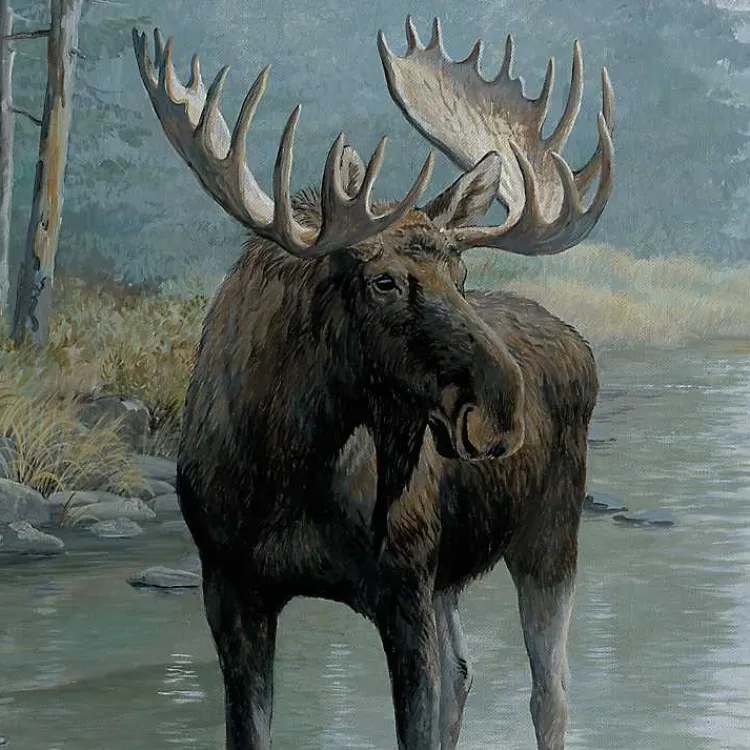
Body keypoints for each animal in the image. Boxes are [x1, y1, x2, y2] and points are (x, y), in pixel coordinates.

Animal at [133, 14, 614, 750]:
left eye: (461, 275)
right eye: (384, 282)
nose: (503, 411)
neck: (284, 470)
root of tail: (576, 340)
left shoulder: (403, 587)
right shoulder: (230, 585)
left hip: (552, 532)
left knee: (549, 692)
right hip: (458, 571)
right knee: (465, 674)